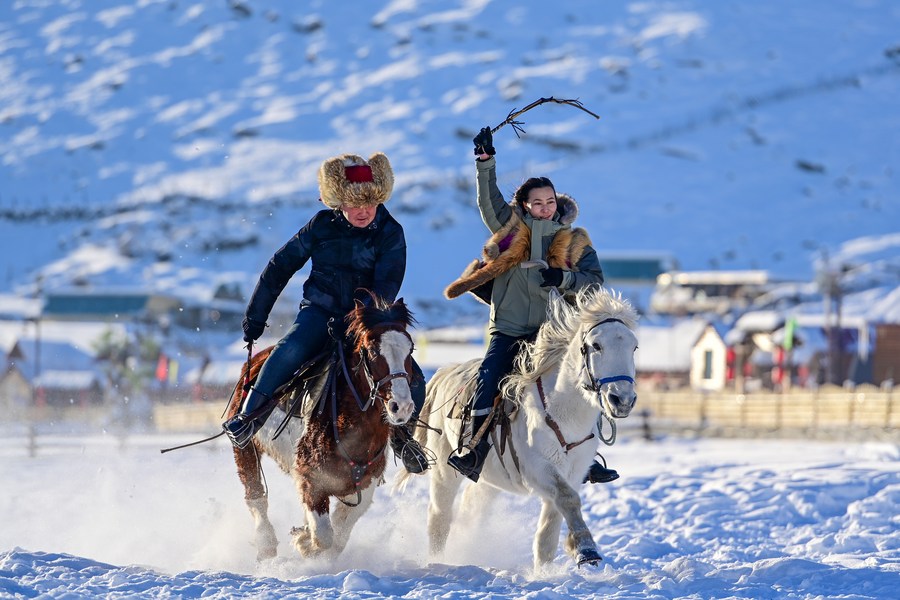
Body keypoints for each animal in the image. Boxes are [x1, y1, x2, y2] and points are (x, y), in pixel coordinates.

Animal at [229, 298, 418, 560]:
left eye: (410, 350)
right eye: (372, 351)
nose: (401, 406)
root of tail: (254, 363)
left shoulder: (364, 484)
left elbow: (338, 534)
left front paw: (304, 537)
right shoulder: (311, 478)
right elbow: (325, 536)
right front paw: (305, 541)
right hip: (246, 449)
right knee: (255, 495)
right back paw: (266, 542)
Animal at [398, 288, 636, 568]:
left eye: (634, 346)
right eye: (596, 345)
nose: (622, 400)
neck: (563, 413)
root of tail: (446, 372)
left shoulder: (573, 473)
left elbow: (548, 533)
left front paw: (549, 567)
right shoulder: (538, 469)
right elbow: (568, 499)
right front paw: (586, 549)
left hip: (488, 480)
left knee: (471, 508)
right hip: (445, 473)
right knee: (439, 516)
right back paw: (438, 559)